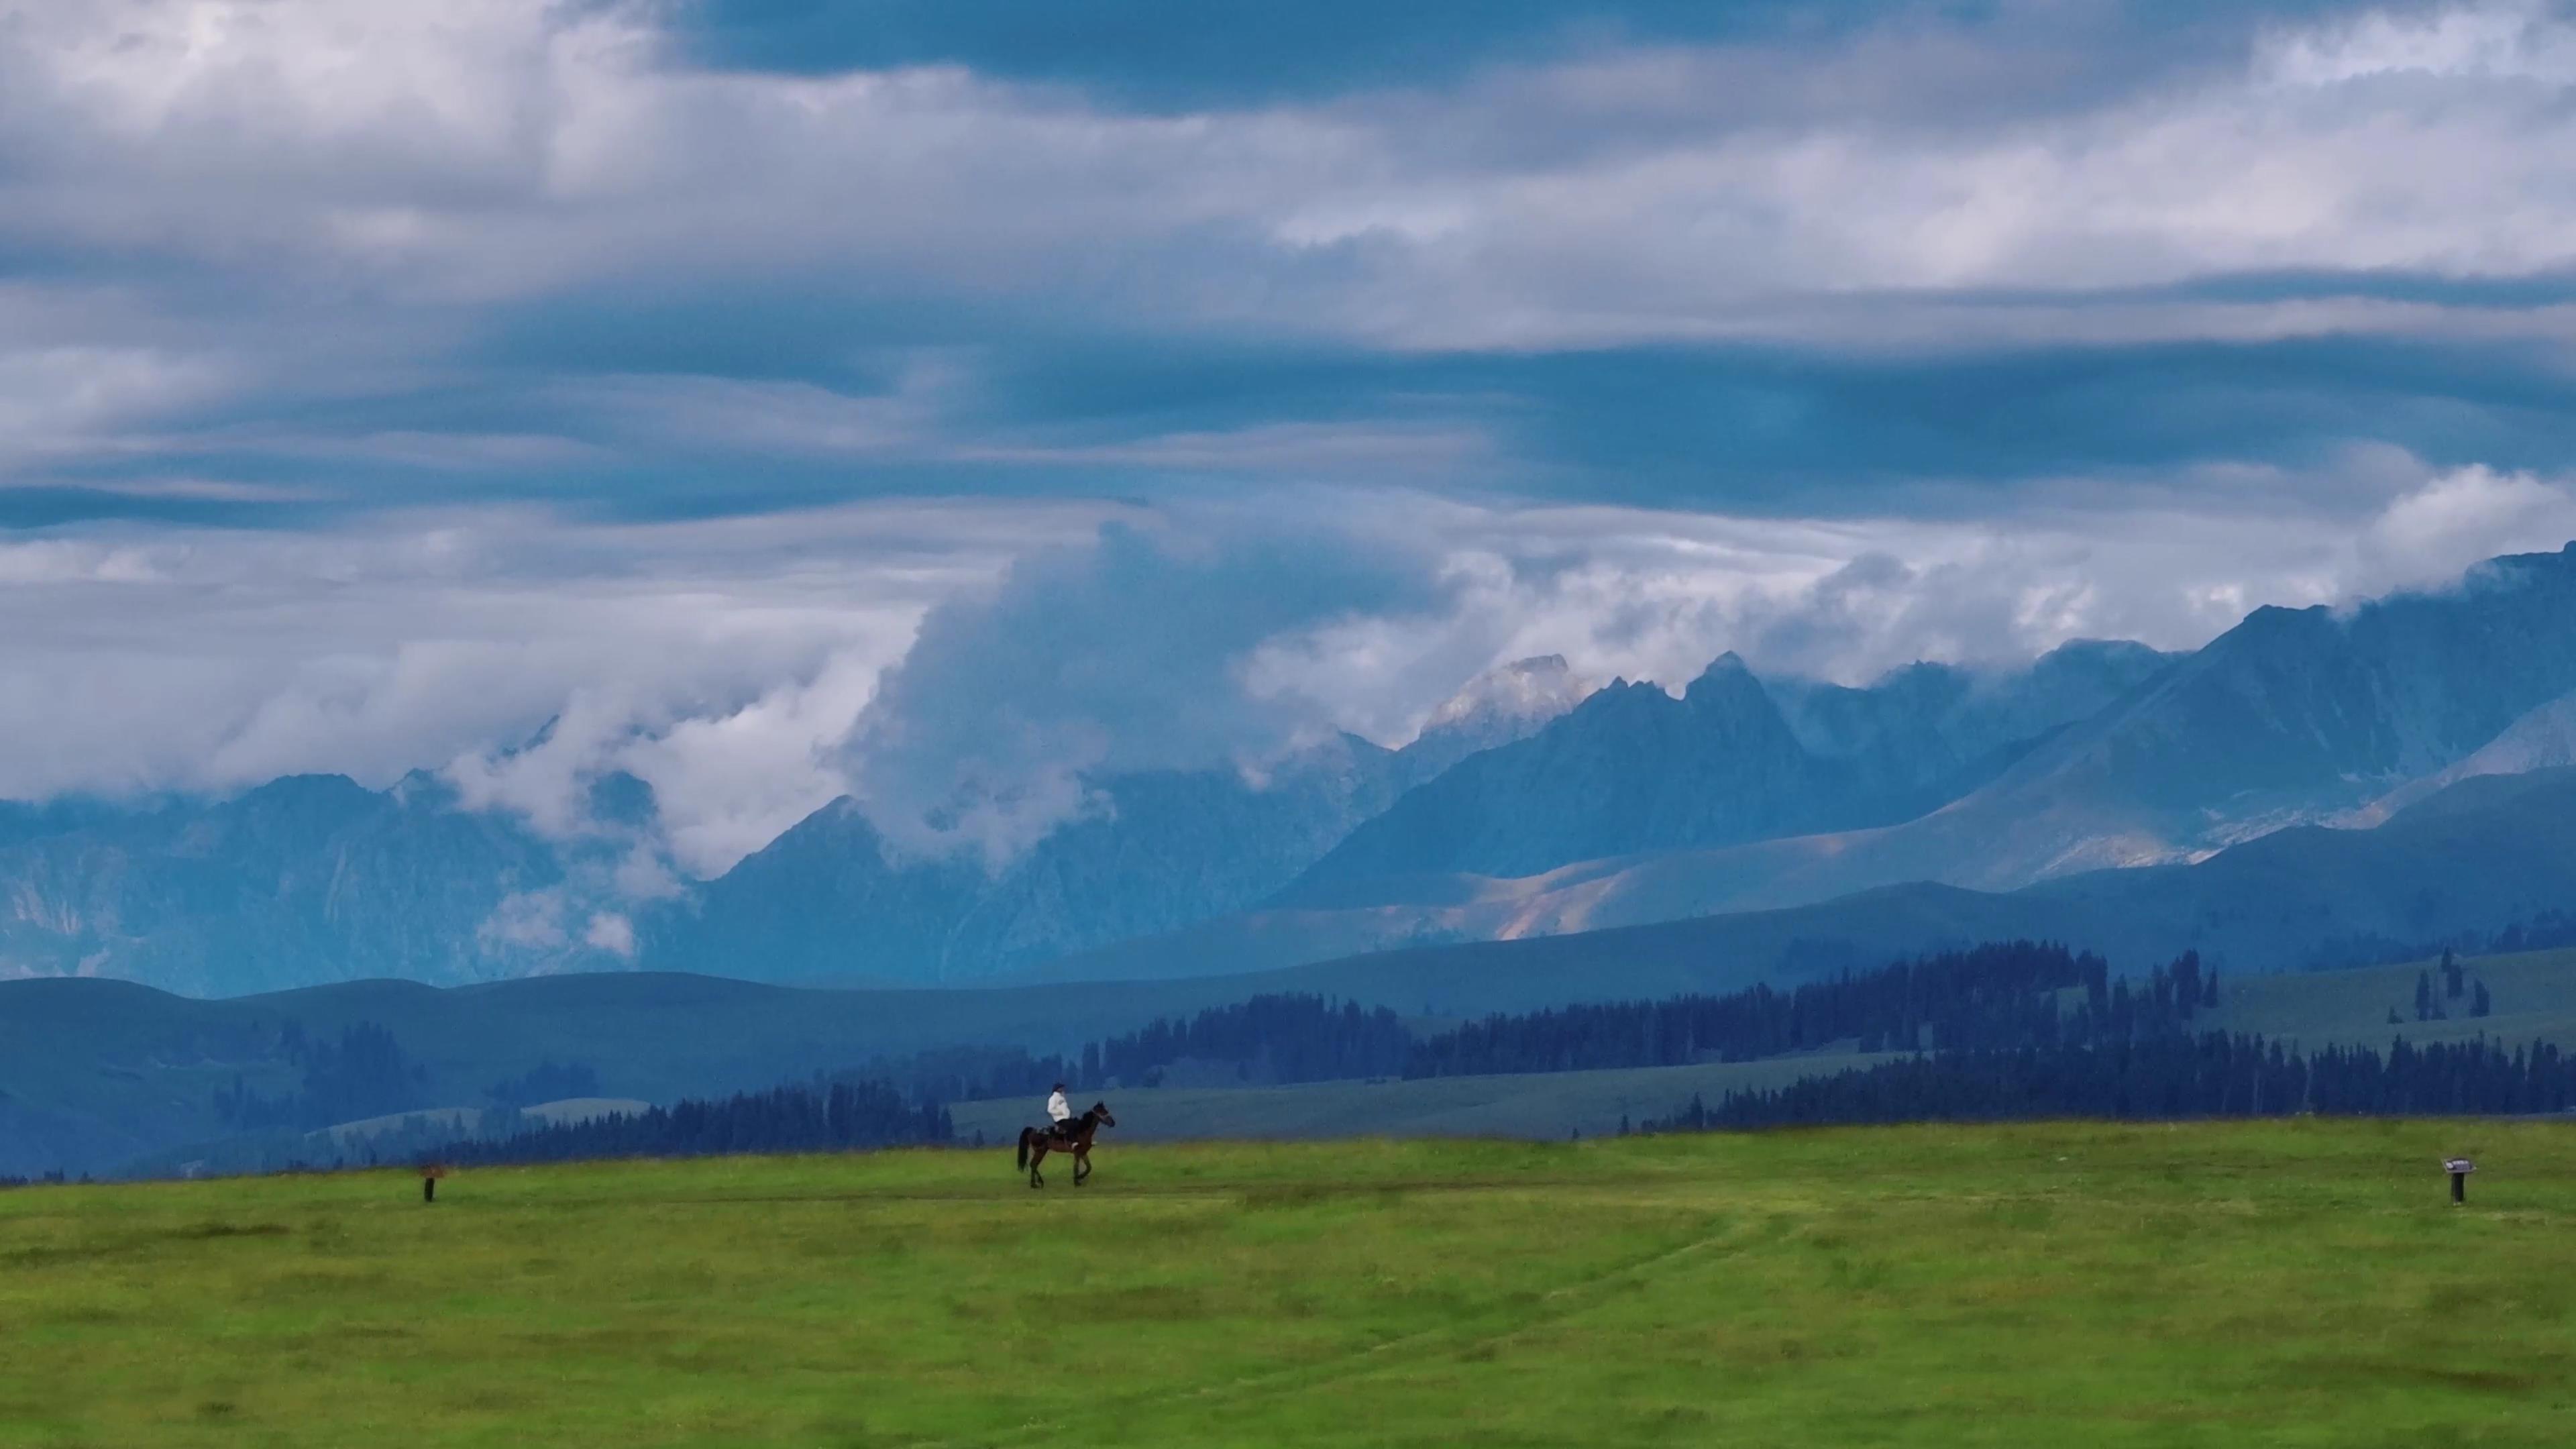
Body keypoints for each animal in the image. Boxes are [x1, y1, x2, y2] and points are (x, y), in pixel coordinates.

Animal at [1014, 1093, 1118, 1185]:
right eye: (1102, 1112)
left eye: (1106, 1110)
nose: (1113, 1123)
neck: (1082, 1131)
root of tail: (1032, 1130)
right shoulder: (1077, 1153)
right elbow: (1076, 1167)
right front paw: (1077, 1181)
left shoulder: (1084, 1152)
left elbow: (1089, 1167)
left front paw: (1079, 1178)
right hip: (1040, 1151)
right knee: (1033, 1165)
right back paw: (1035, 1184)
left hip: (1042, 1151)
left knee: (1034, 1165)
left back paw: (1037, 1183)